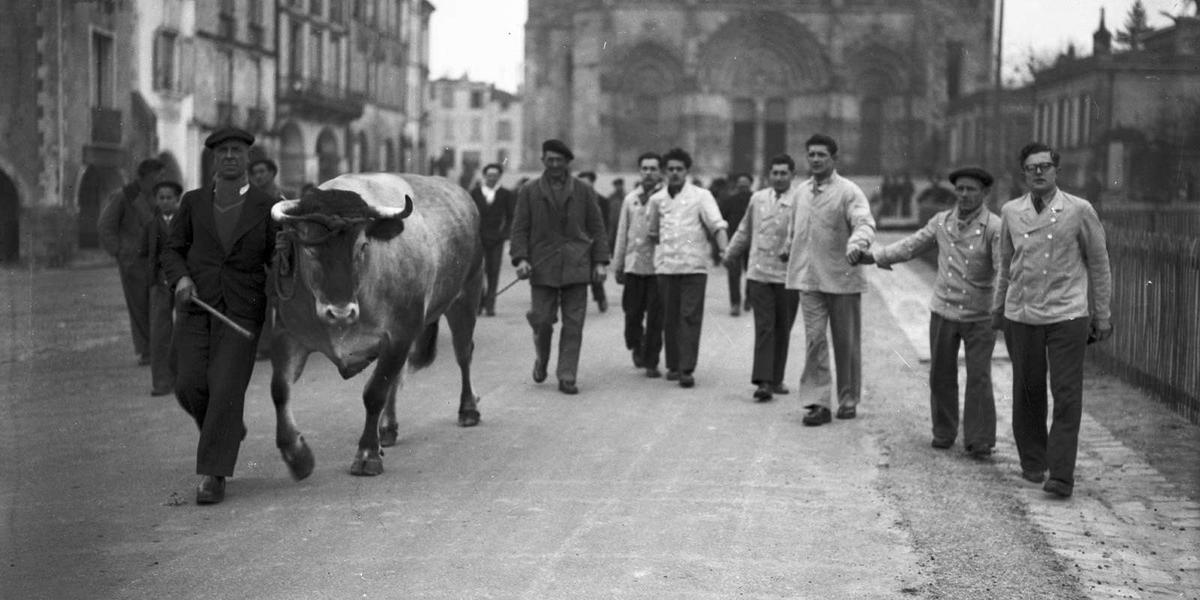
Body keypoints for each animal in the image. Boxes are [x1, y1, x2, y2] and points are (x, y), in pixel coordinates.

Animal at [268, 172, 482, 477]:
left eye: (362, 246)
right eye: (308, 249)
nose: (340, 312)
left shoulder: (399, 334)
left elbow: (374, 393)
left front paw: (367, 454)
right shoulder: (288, 334)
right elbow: (279, 390)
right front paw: (296, 456)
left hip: (466, 296)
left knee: (463, 353)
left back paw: (468, 410)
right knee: (399, 376)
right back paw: (388, 428)